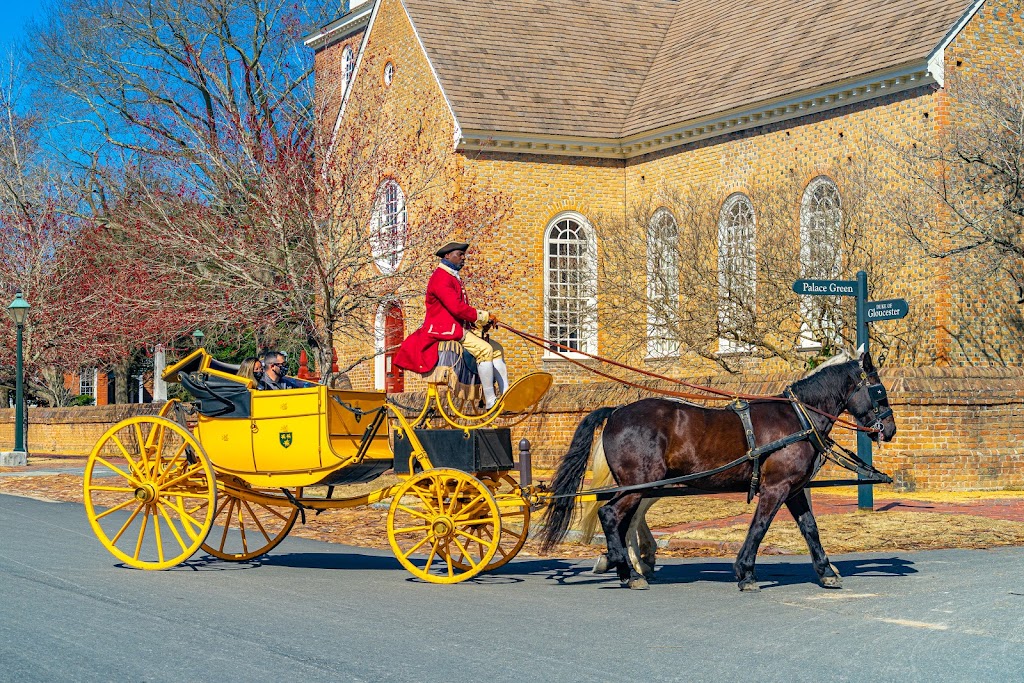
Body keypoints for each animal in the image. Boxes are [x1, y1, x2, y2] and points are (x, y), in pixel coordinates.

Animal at [544, 350, 897, 589]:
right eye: (878, 389)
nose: (890, 429)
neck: (798, 418)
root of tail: (616, 411)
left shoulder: (794, 489)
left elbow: (810, 528)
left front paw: (825, 571)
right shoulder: (776, 487)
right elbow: (759, 527)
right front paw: (746, 572)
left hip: (639, 486)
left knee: (621, 520)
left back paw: (625, 568)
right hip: (641, 483)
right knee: (611, 515)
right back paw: (628, 570)